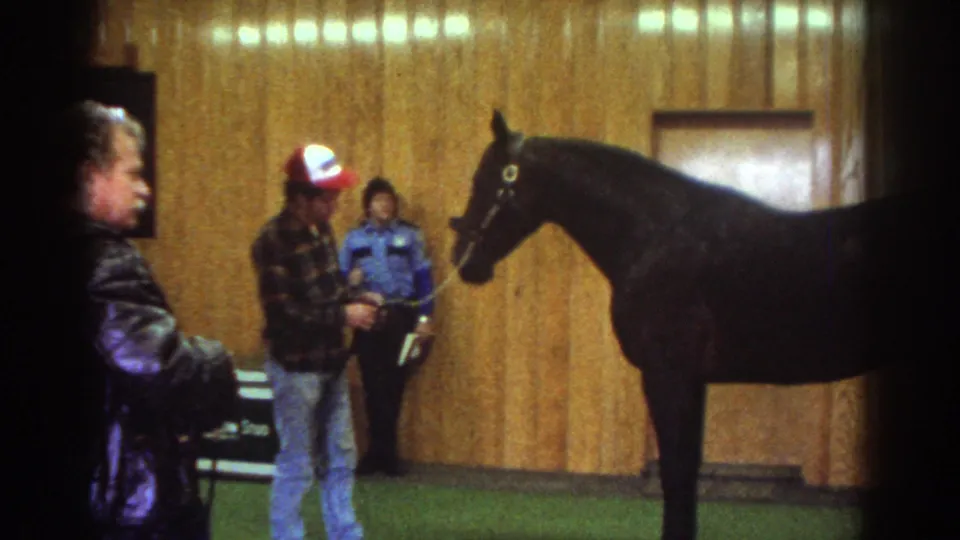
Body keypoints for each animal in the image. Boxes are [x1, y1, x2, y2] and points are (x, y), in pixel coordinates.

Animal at [448, 110, 938, 539]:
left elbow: (677, 474)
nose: (462, 260)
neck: (656, 238)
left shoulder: (669, 375)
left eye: (485, 180)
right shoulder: (691, 379)